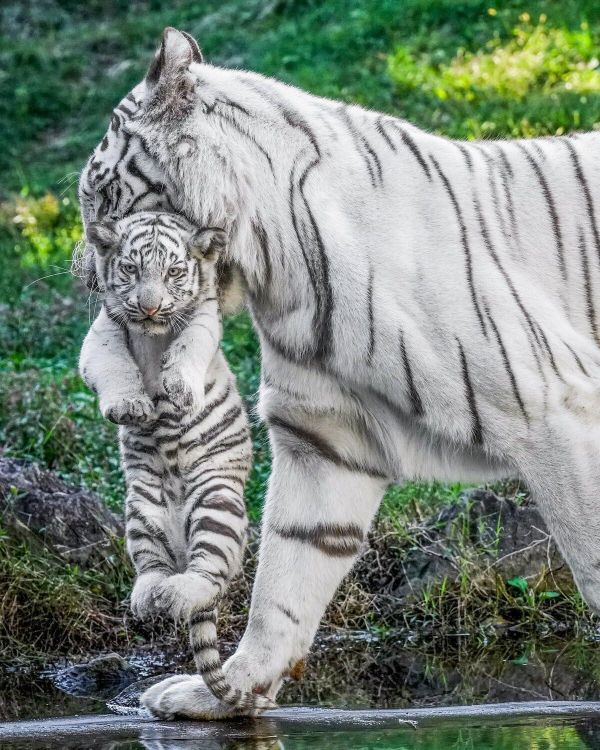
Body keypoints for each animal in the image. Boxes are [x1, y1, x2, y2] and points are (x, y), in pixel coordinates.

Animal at [78, 209, 272, 714]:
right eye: (130, 270)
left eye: (173, 273)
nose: (149, 308)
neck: (150, 334)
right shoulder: (102, 330)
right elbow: (109, 361)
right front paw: (132, 406)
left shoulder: (204, 320)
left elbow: (190, 344)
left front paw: (177, 391)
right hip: (141, 513)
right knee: (154, 566)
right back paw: (151, 594)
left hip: (216, 502)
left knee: (209, 576)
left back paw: (178, 592)